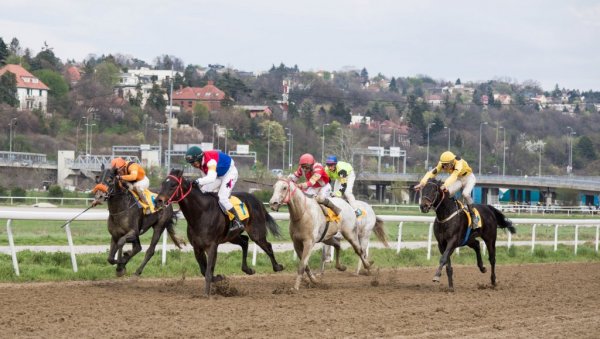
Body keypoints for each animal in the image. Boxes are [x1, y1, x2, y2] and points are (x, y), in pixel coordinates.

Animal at [155, 169, 286, 296]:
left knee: (267, 246)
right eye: (162, 183)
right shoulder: (197, 247)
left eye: (173, 185)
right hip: (232, 236)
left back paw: (277, 267)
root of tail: (258, 201)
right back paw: (248, 269)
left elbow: (208, 271)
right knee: (244, 241)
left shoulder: (212, 246)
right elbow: (204, 270)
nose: (158, 200)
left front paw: (207, 294)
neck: (201, 213)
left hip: (256, 233)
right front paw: (218, 279)